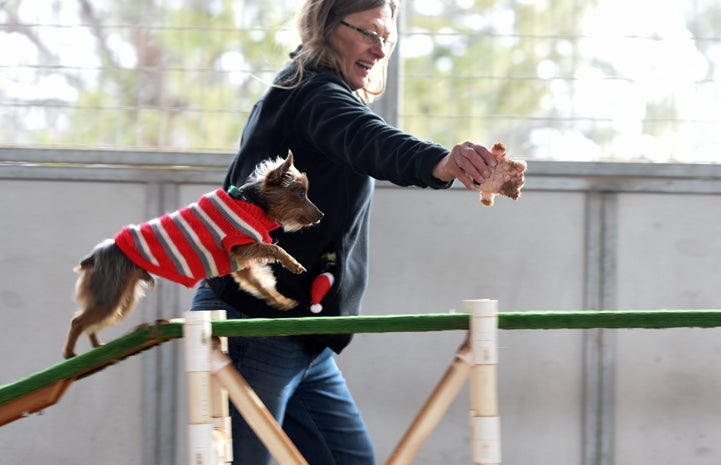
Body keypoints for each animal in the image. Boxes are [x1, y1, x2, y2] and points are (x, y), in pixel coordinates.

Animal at [63, 150, 322, 358]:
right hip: (110, 291)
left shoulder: (242, 264)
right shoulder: (239, 246)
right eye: (301, 193)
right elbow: (274, 248)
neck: (251, 204)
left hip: (122, 296)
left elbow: (260, 284)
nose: (321, 215)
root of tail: (96, 255)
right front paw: (294, 264)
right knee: (78, 321)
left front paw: (280, 301)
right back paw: (69, 354)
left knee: (93, 322)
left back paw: (97, 347)